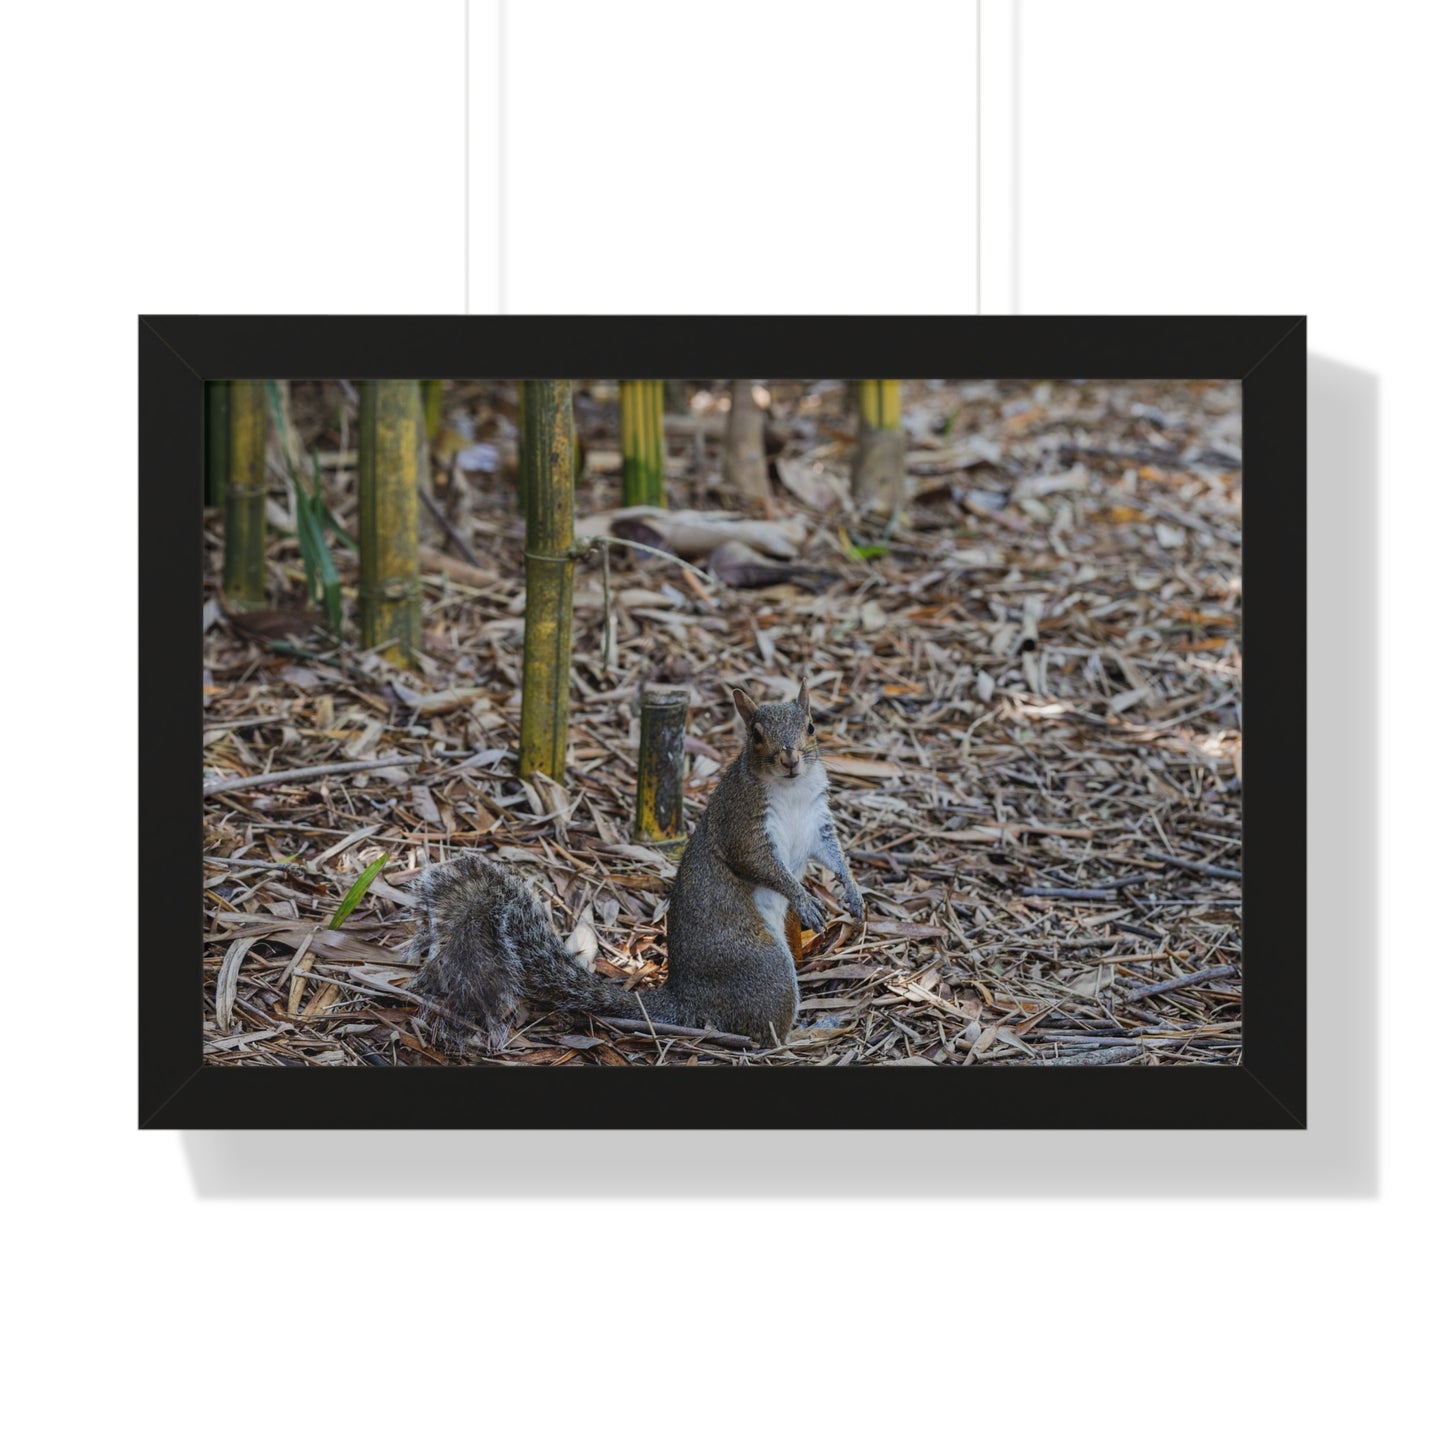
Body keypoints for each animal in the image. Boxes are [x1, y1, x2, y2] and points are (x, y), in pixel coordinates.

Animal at [404, 680, 865, 1050]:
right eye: (755, 735)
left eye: (811, 726)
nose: (790, 759)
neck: (790, 790)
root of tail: (684, 999)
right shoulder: (742, 825)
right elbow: (763, 866)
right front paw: (803, 900)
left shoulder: (816, 822)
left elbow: (832, 854)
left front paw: (853, 892)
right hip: (764, 969)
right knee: (764, 1035)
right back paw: (811, 1032)